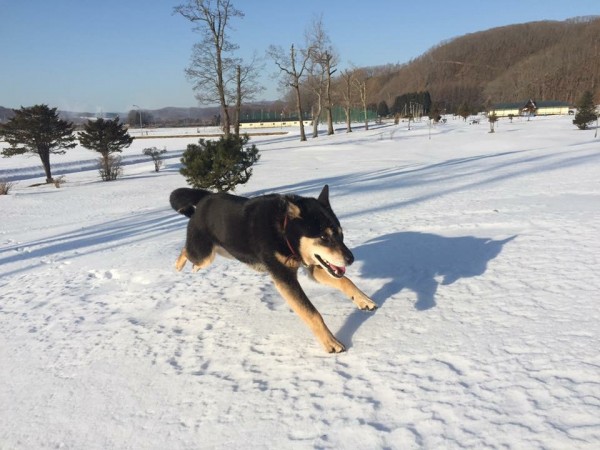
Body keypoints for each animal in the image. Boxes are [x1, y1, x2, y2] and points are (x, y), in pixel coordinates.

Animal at [169, 185, 376, 354]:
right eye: (324, 237)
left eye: (341, 234)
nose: (350, 259)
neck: (284, 231)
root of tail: (205, 198)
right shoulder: (284, 278)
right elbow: (312, 313)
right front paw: (330, 342)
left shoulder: (313, 267)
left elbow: (345, 281)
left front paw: (363, 299)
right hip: (204, 253)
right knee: (187, 250)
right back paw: (178, 265)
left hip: (224, 249)